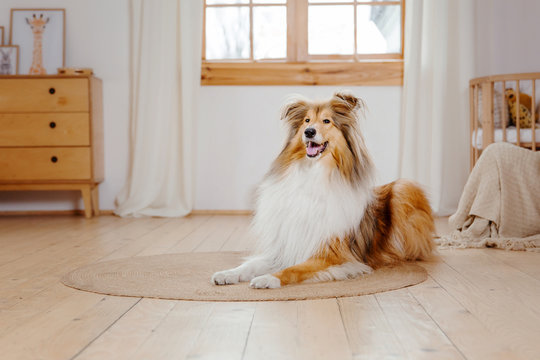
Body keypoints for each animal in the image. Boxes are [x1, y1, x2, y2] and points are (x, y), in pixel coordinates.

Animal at [211, 93, 434, 290]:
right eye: (307, 120)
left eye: (327, 121)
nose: (309, 131)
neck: (313, 173)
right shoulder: (282, 248)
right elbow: (249, 265)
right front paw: (228, 274)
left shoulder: (332, 255)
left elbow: (294, 269)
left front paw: (269, 278)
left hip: (404, 188)